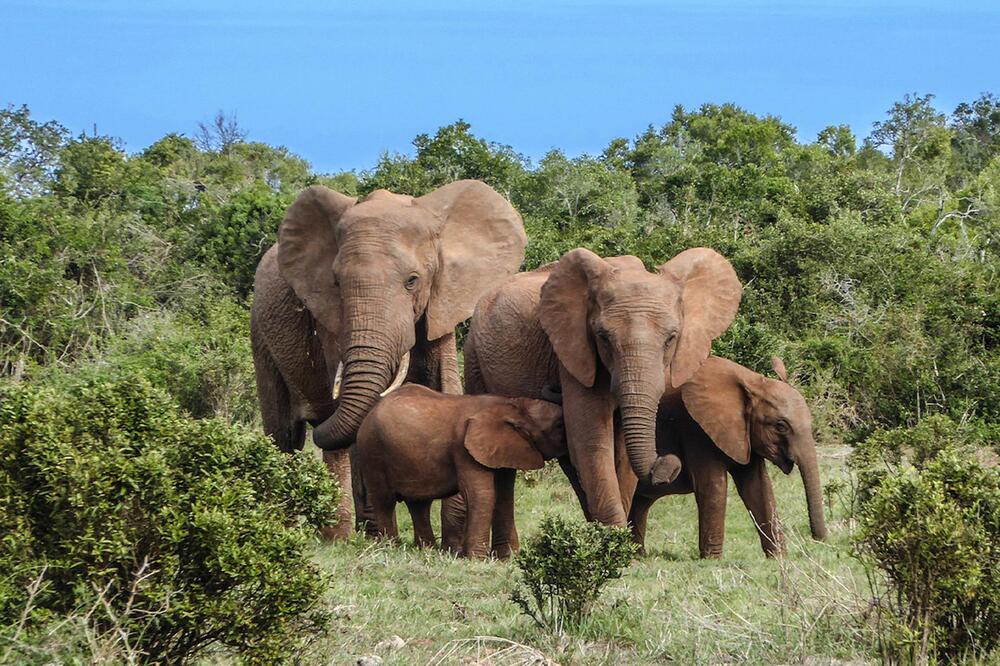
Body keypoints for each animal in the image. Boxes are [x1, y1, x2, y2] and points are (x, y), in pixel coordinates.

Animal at [250, 179, 528, 536]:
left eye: (412, 281)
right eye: (336, 283)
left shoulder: (441, 302)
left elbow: (446, 386)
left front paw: (453, 536)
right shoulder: (330, 319)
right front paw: (377, 535)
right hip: (260, 332)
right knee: (284, 435)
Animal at [356, 382, 568, 556]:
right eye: (559, 425)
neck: (513, 405)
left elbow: (503, 495)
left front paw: (508, 558)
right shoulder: (463, 448)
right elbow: (482, 494)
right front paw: (476, 559)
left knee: (419, 504)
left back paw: (426, 550)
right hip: (372, 451)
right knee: (384, 501)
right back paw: (390, 547)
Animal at [464, 246, 740, 532]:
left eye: (671, 339)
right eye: (603, 337)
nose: (668, 464)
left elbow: (620, 453)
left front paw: (615, 538)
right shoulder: (574, 352)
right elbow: (592, 440)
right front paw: (614, 538)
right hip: (474, 357)